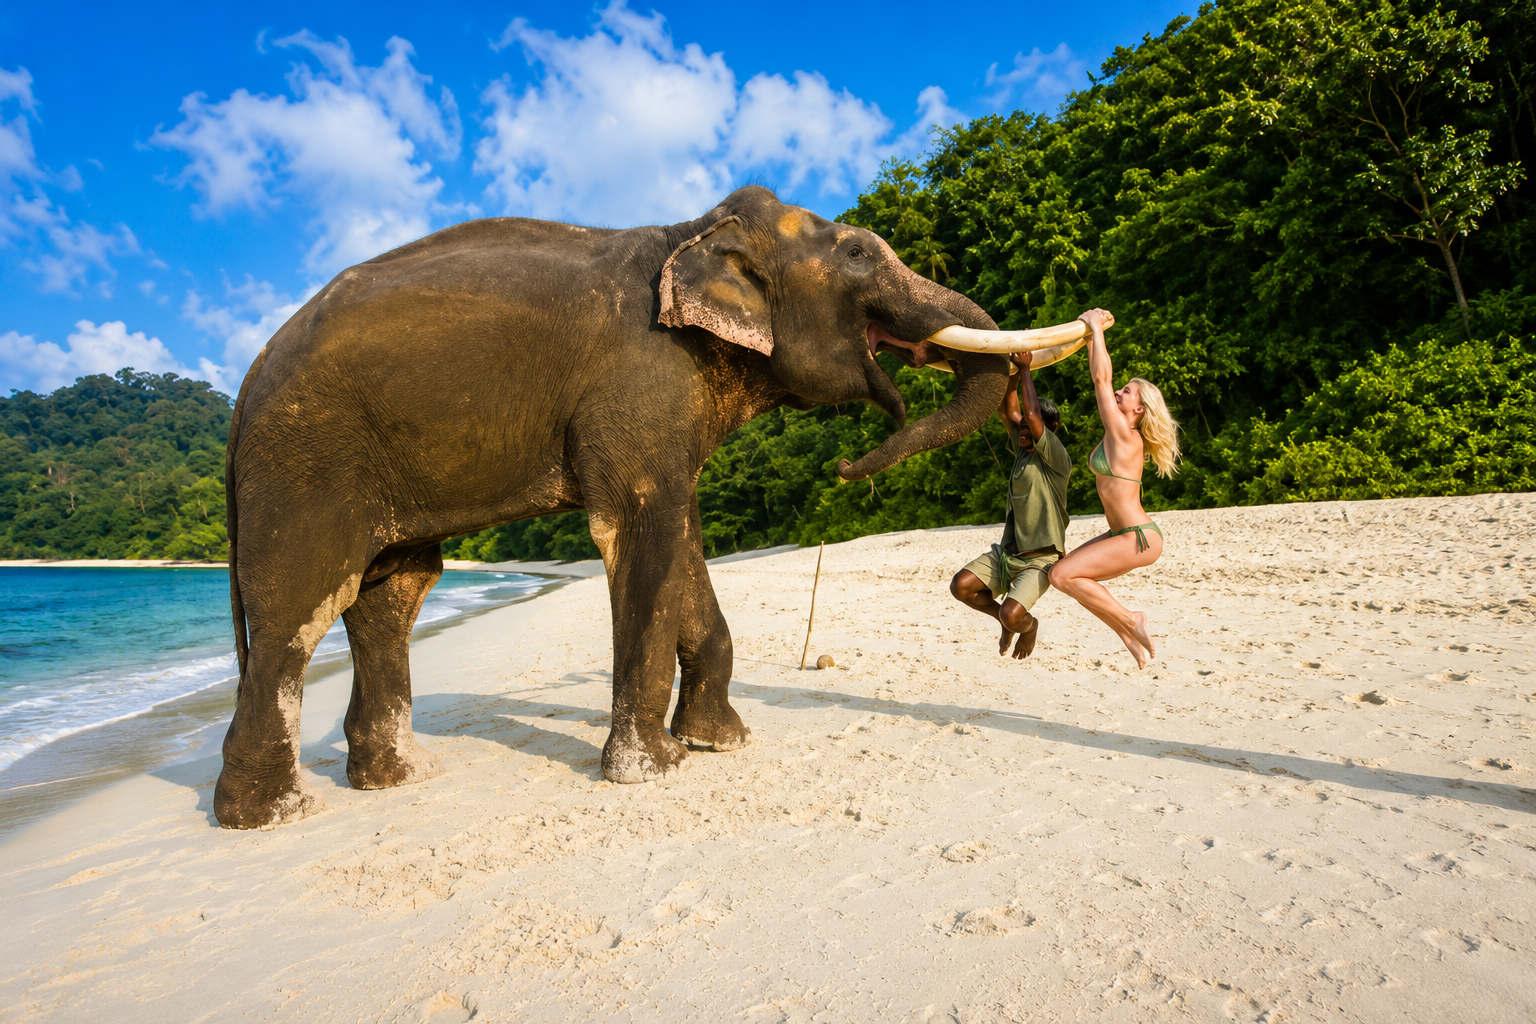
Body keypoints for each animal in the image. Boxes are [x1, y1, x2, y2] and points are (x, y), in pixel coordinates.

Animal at [217, 185, 1058, 829]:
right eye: (857, 254)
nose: (849, 468)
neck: (693, 230)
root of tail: (250, 372)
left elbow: (682, 532)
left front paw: (719, 743)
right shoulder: (641, 383)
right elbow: (642, 526)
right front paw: (651, 769)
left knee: (392, 595)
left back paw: (400, 777)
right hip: (305, 463)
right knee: (302, 606)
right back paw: (271, 816)